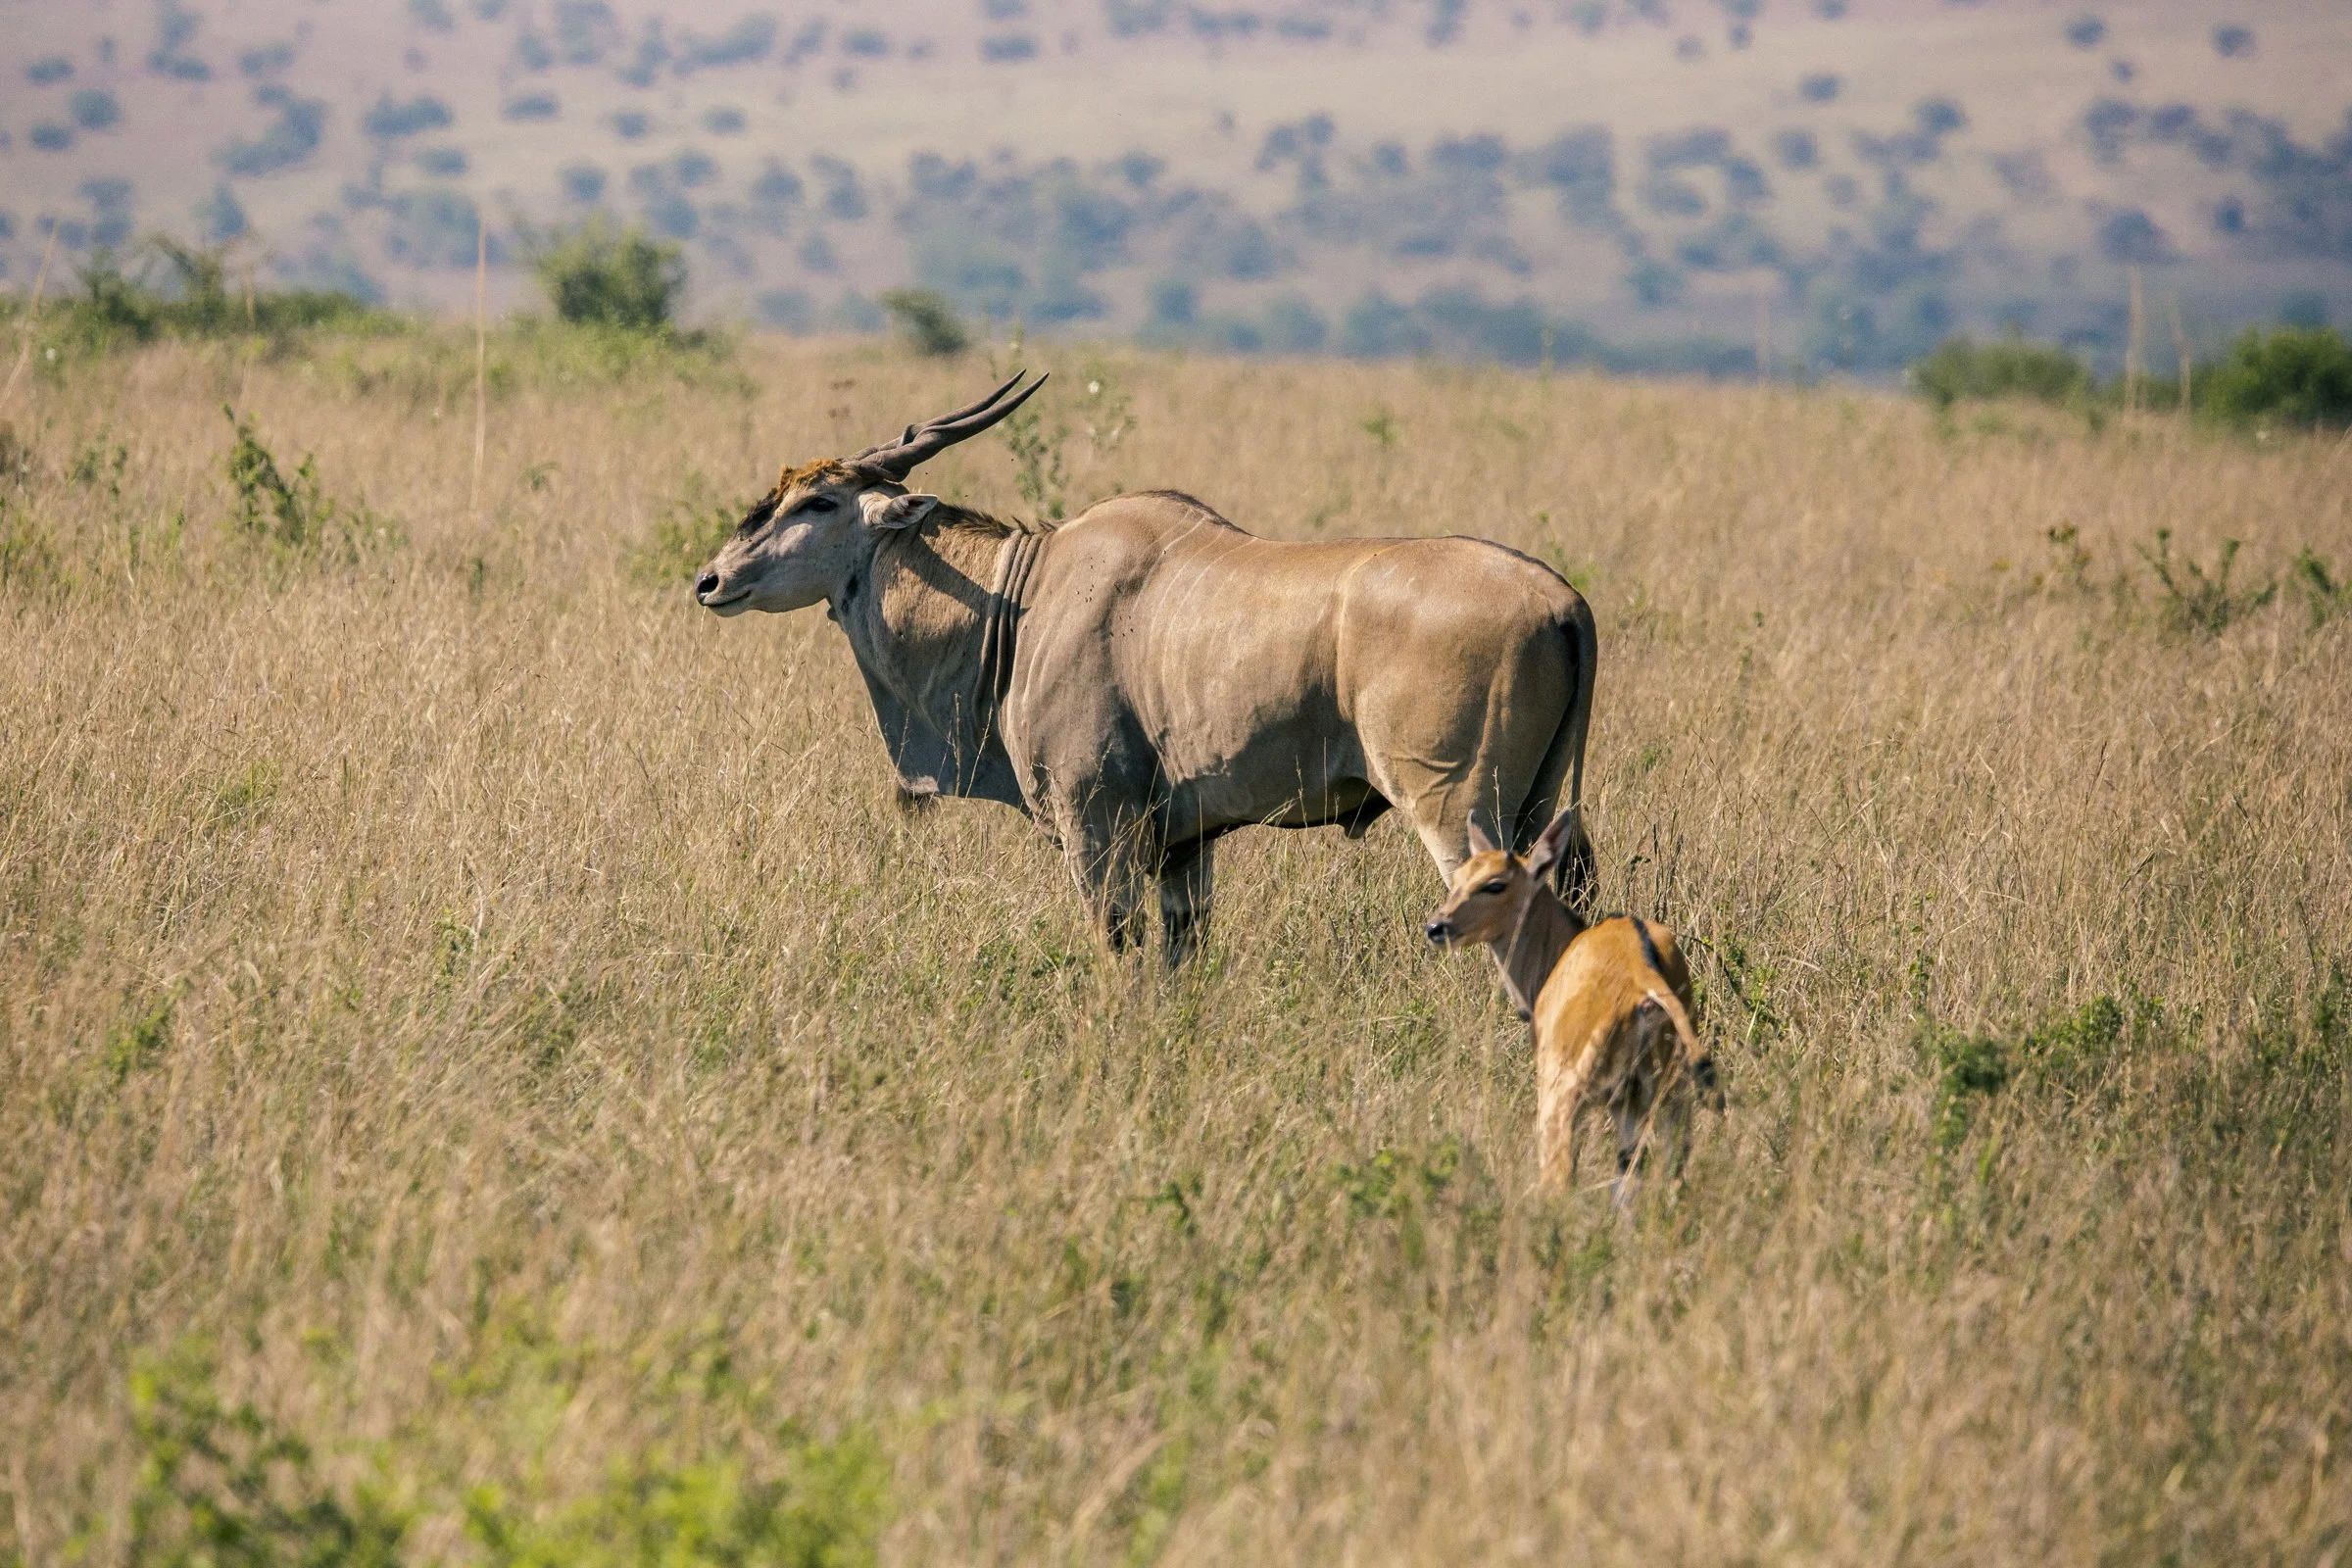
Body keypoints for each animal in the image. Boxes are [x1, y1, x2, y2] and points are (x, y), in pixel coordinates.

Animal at [695, 374, 1599, 963]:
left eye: (815, 501)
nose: (710, 579)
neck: (1020, 601)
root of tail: (1563, 600)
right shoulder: (1183, 849)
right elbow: (1179, 959)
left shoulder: (1096, 828)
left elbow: (1119, 954)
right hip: (1543, 807)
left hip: (1457, 811)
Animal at [1424, 809, 1718, 1200]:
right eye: (1459, 878)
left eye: (1495, 884)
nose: (1436, 927)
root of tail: (1644, 976)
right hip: (1667, 1098)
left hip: (1562, 1100)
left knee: (1560, 1180)